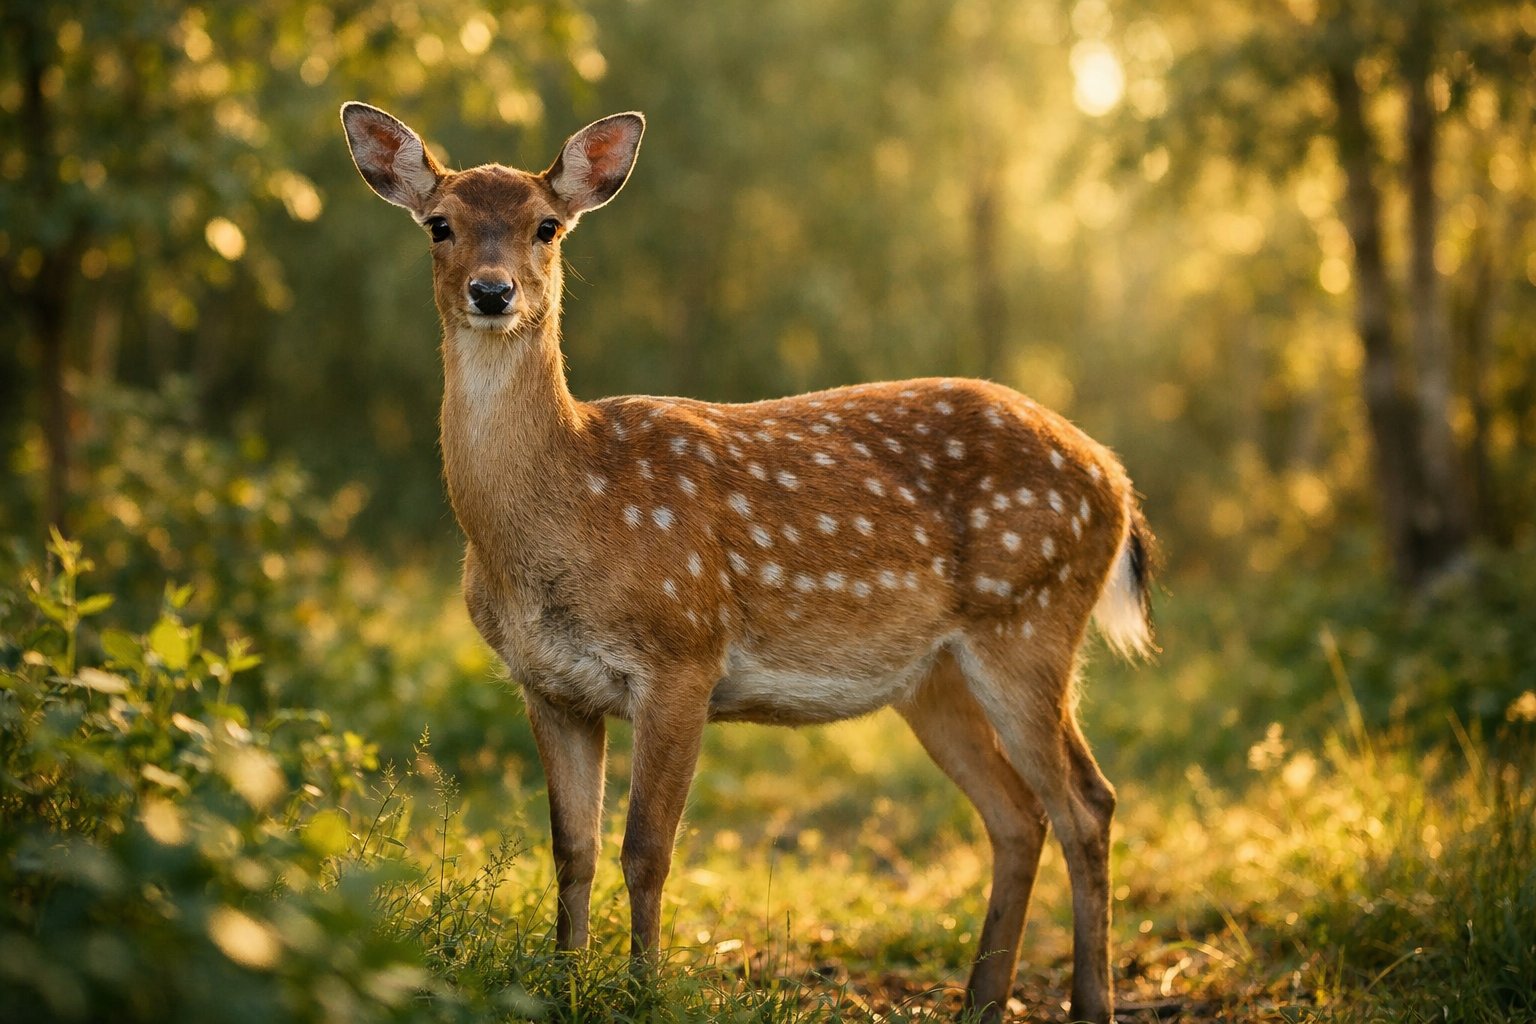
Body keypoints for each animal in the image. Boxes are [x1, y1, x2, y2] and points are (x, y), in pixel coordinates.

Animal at [342, 101, 1154, 1024]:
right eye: (438, 224)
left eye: (546, 226)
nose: (492, 291)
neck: (563, 514)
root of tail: (1116, 479)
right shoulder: (548, 684)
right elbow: (571, 849)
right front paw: (561, 981)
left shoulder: (682, 651)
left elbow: (646, 849)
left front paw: (642, 993)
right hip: (935, 676)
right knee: (1020, 814)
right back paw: (980, 1000)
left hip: (1029, 621)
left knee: (1087, 802)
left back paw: (1089, 1003)